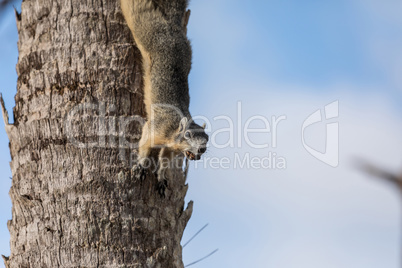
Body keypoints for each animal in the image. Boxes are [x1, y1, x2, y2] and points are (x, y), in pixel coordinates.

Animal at [119, 0, 209, 197]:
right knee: (138, 11)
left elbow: (165, 162)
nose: (202, 149)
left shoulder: (169, 149)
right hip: (146, 29)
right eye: (188, 134)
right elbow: (145, 143)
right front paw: (141, 165)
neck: (172, 133)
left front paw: (161, 178)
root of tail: (172, 28)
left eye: (207, 138)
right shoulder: (156, 128)